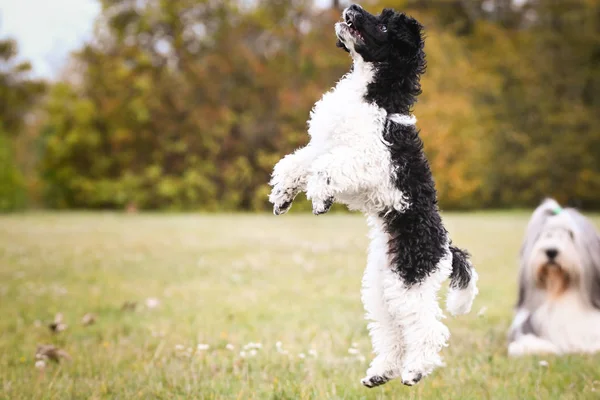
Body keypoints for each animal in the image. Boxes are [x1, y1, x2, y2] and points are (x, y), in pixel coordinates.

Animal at [270, 3, 476, 388]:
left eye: (382, 25)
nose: (350, 8)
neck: (373, 95)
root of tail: (446, 245)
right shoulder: (323, 145)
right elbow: (297, 163)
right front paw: (282, 196)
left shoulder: (374, 161)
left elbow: (326, 168)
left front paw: (320, 198)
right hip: (382, 287)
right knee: (392, 331)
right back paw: (381, 373)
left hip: (411, 279)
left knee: (427, 329)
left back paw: (415, 370)